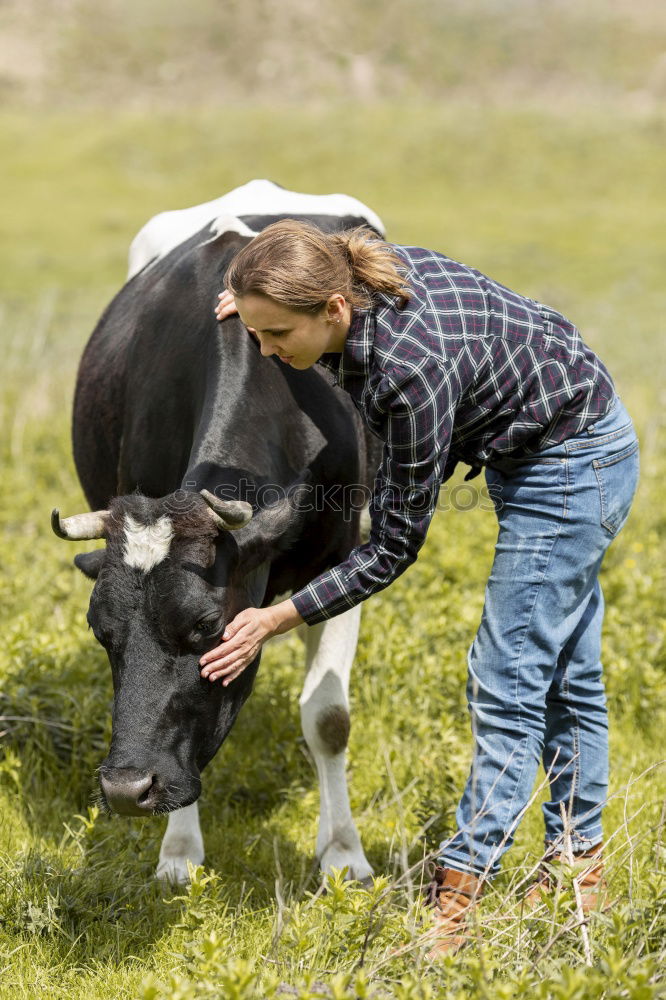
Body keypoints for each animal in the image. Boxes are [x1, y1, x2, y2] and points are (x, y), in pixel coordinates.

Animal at [52, 180, 382, 884]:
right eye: (100, 630)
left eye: (206, 626)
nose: (126, 789)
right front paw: (178, 852)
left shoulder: (345, 558)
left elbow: (329, 717)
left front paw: (343, 854)